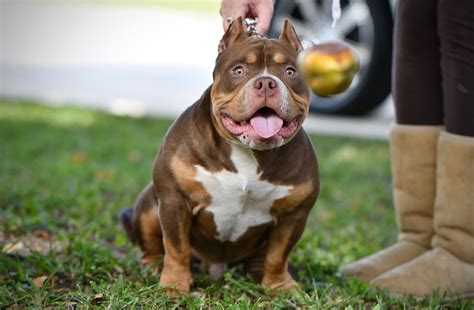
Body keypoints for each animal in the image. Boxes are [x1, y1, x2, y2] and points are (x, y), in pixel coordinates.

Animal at [119, 18, 318, 294]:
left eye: (289, 72)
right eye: (238, 70)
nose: (266, 83)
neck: (248, 153)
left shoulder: (294, 214)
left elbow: (278, 255)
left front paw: (280, 287)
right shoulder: (174, 199)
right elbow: (177, 247)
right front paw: (174, 286)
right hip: (149, 204)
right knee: (153, 246)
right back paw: (154, 267)